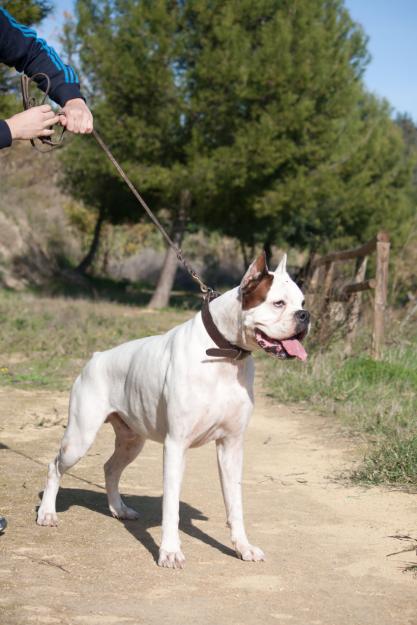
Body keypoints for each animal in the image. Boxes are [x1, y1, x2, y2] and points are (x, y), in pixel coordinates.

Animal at [36, 251, 308, 568]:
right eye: (278, 303)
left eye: (302, 302)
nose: (305, 316)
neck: (224, 354)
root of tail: (96, 356)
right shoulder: (176, 445)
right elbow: (171, 508)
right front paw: (169, 551)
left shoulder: (231, 446)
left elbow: (235, 504)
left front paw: (243, 547)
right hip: (79, 438)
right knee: (54, 466)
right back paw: (47, 513)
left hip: (132, 441)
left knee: (110, 468)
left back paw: (119, 509)